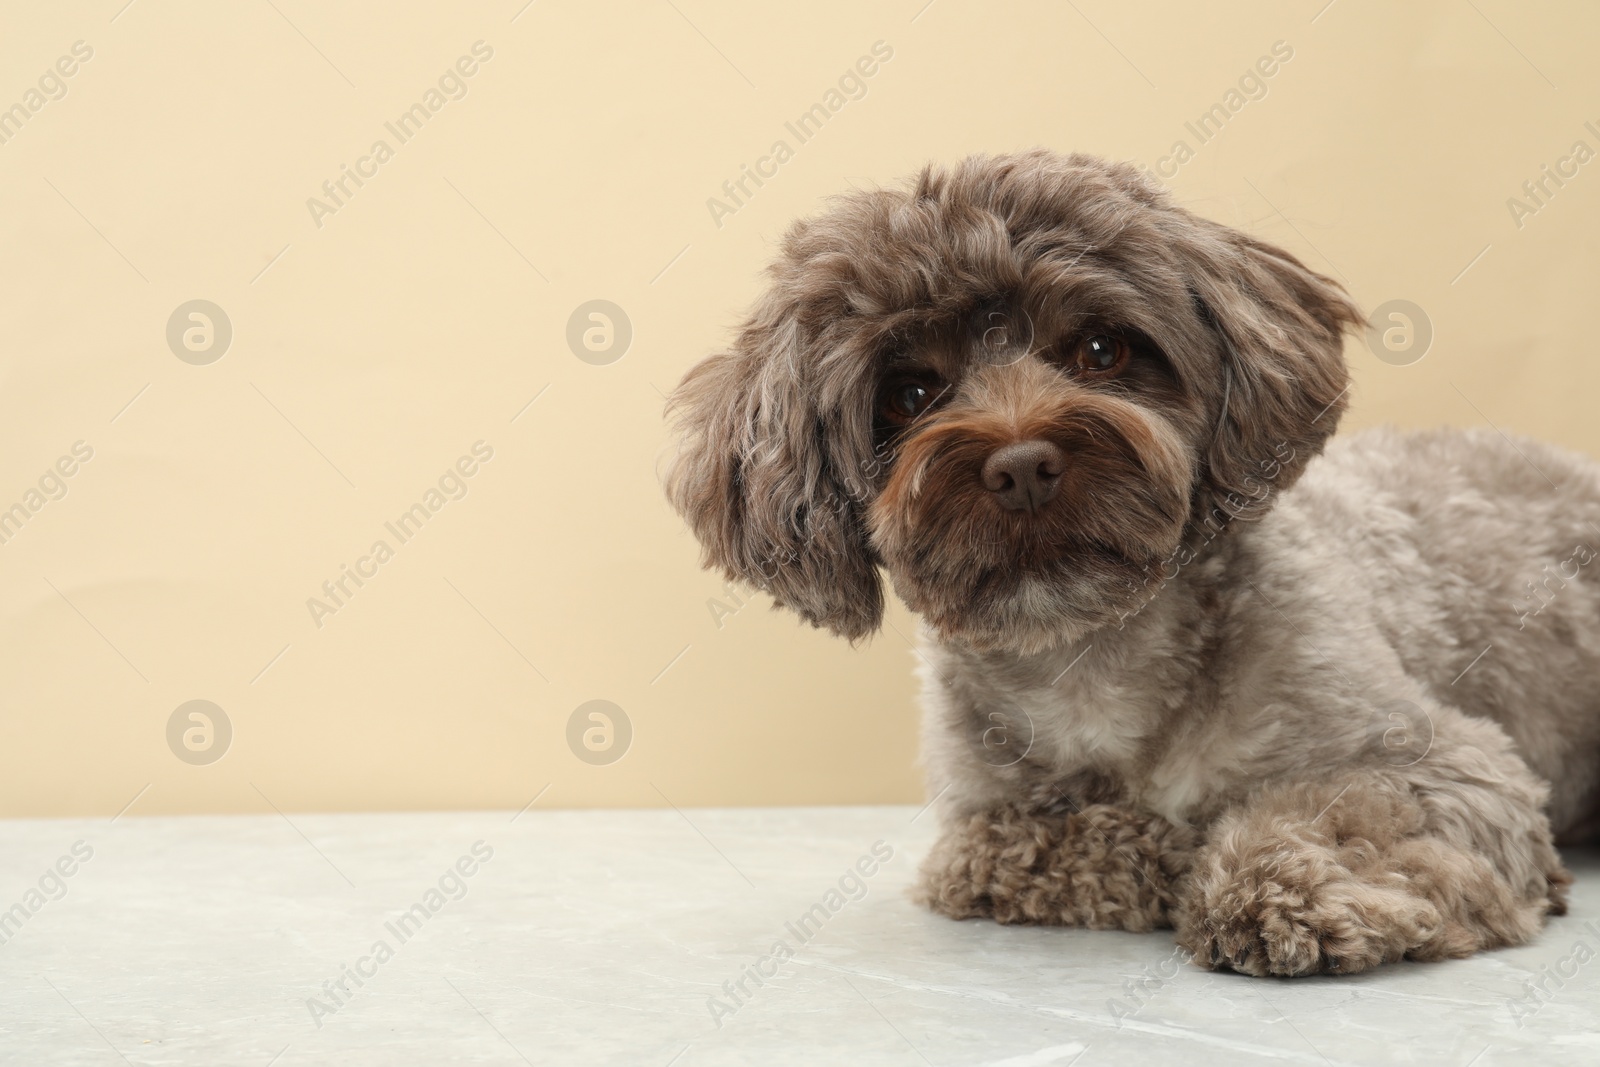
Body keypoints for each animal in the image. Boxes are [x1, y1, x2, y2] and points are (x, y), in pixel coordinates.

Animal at [662, 150, 1600, 979]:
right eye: (910, 394)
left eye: (1101, 349)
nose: (1021, 465)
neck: (1094, 657)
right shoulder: (979, 824)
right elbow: (1043, 844)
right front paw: (1165, 851)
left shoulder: (1446, 765)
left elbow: (1338, 816)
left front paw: (1273, 886)